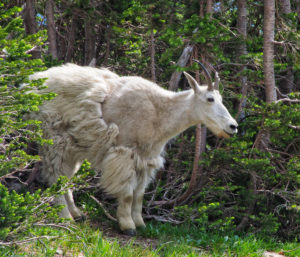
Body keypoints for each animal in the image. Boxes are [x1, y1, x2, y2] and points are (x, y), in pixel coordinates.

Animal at [29, 61, 238, 234]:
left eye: (221, 99)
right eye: (210, 99)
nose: (233, 126)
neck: (160, 113)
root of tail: (30, 84)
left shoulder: (146, 159)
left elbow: (139, 195)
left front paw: (141, 223)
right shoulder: (124, 153)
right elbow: (128, 195)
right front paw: (128, 226)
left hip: (73, 147)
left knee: (67, 178)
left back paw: (77, 214)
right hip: (53, 140)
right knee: (56, 177)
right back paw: (66, 218)